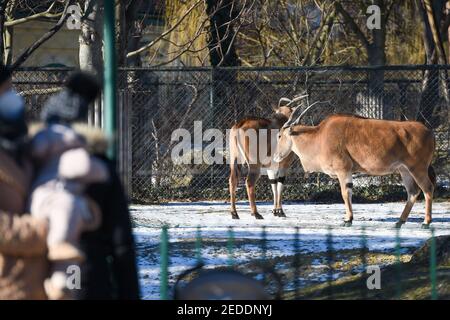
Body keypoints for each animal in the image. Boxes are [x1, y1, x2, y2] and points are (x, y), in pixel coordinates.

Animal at [272, 103, 434, 228]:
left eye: (279, 136)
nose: (275, 157)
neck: (319, 136)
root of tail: (429, 132)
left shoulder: (343, 170)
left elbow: (345, 193)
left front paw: (347, 219)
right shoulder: (348, 172)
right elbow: (348, 193)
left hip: (418, 168)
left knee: (427, 188)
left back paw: (426, 222)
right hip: (404, 170)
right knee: (413, 192)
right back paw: (400, 221)